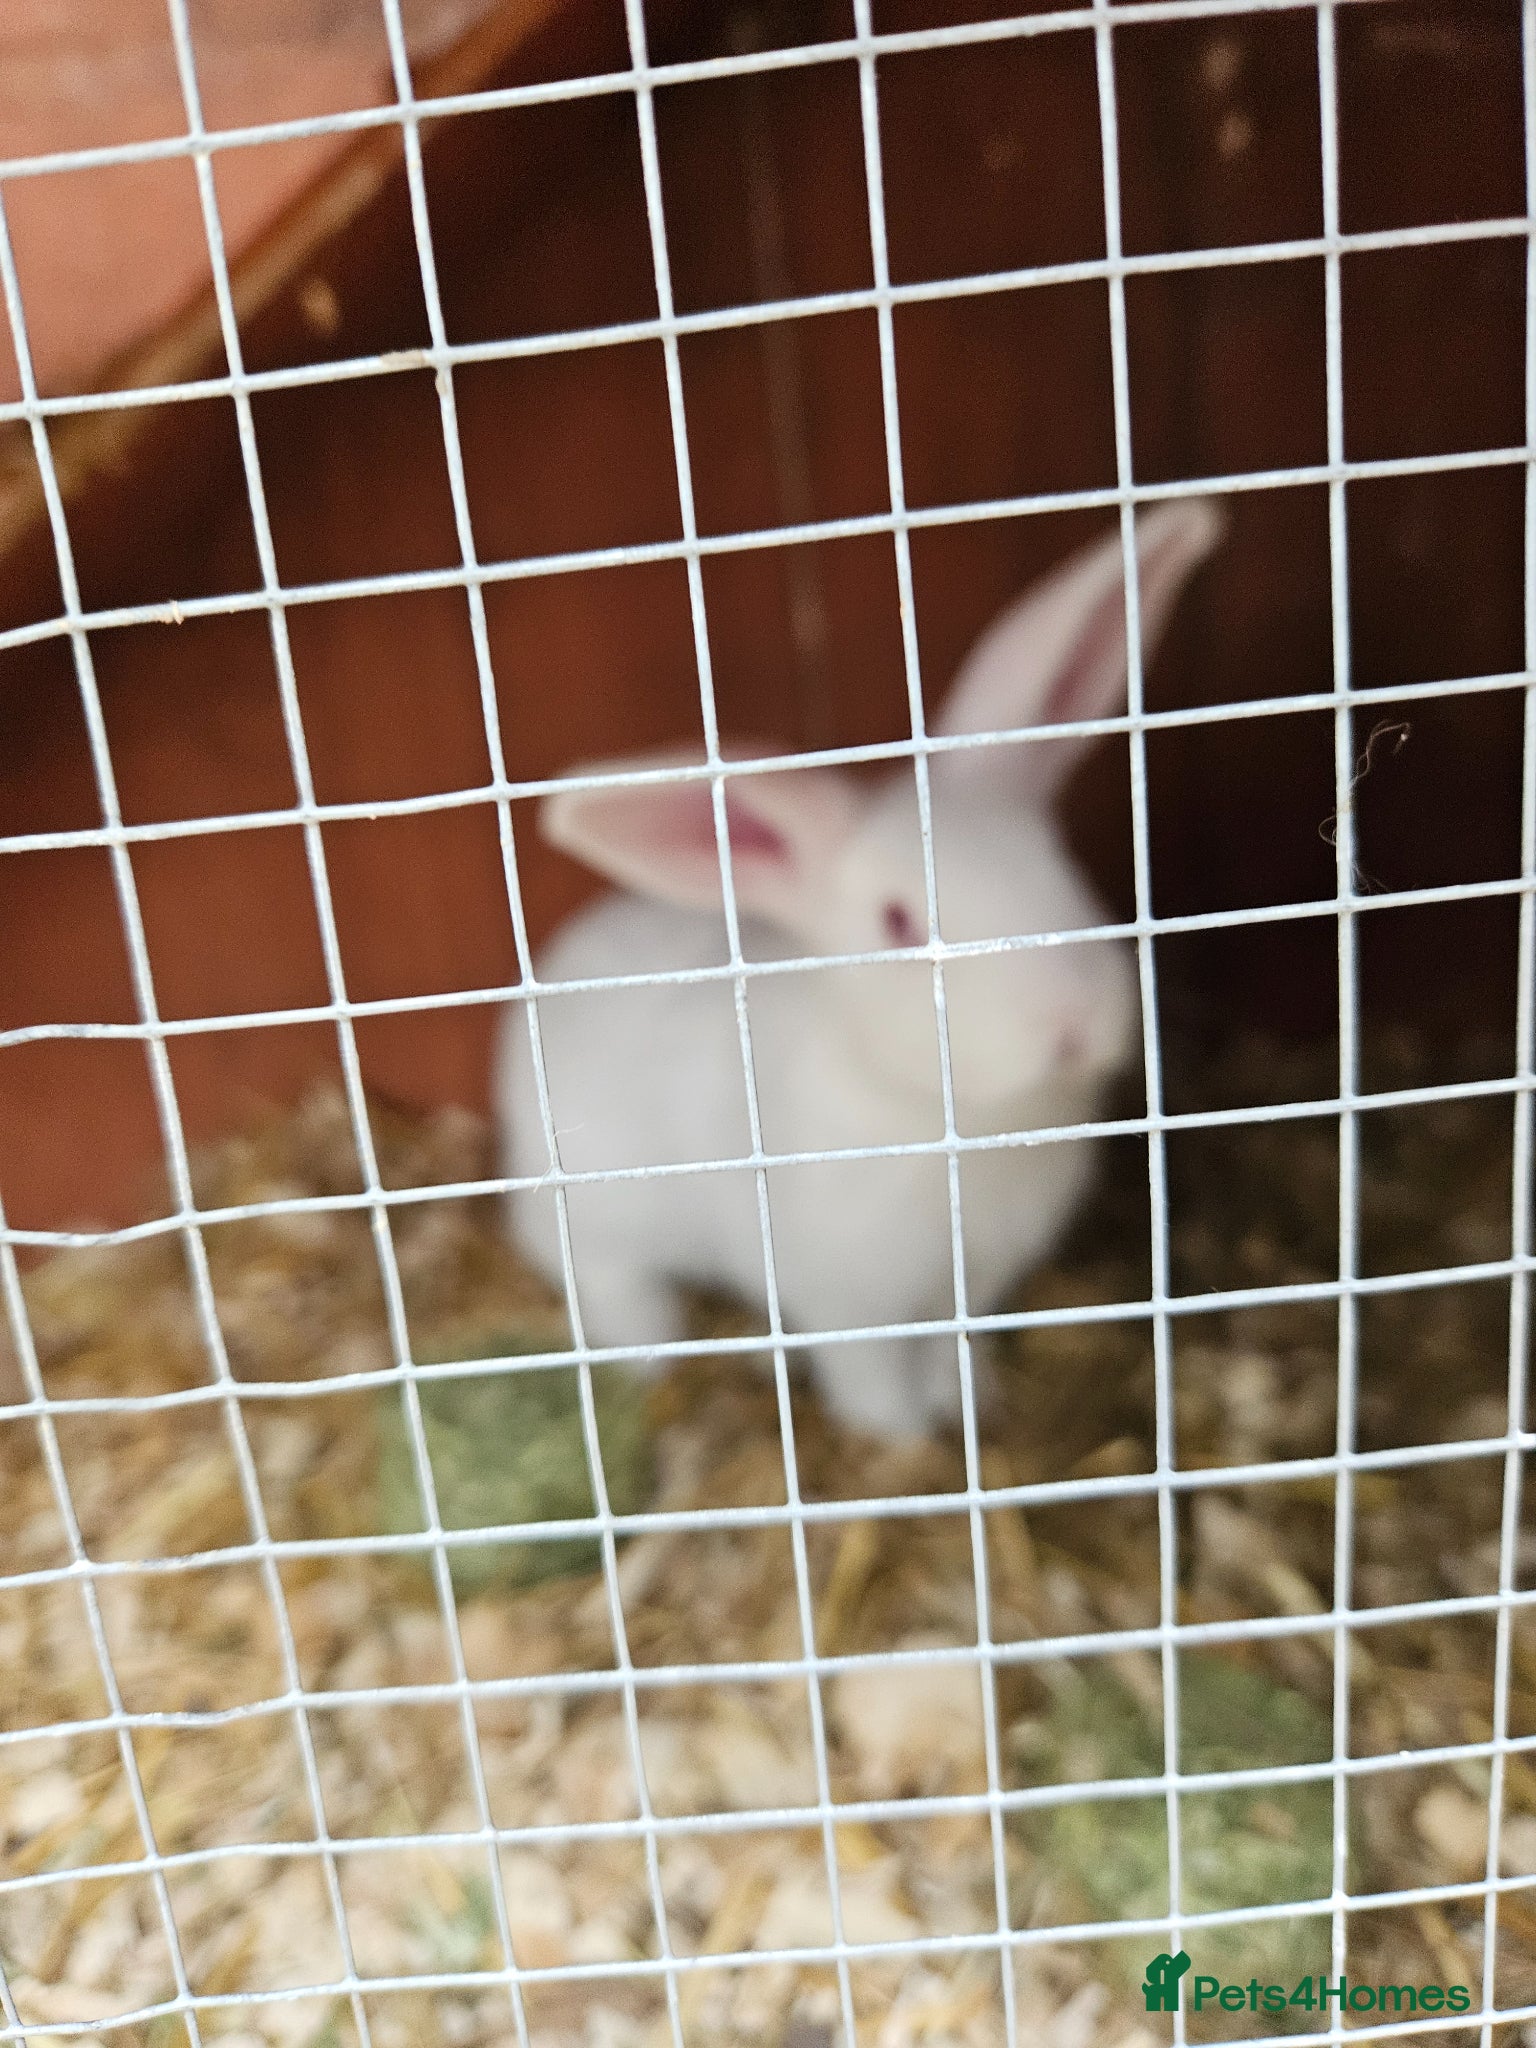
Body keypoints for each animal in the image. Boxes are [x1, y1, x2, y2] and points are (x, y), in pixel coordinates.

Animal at [495, 499, 1224, 1440]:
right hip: (601, 1213)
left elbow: (953, 1347)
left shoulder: (971, 1283)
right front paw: (904, 1440)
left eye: (1061, 870)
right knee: (593, 1270)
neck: (952, 1122)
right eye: (899, 923)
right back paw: (651, 1350)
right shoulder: (846, 1300)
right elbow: (869, 1376)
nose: (1072, 1025)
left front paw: (967, 1401)